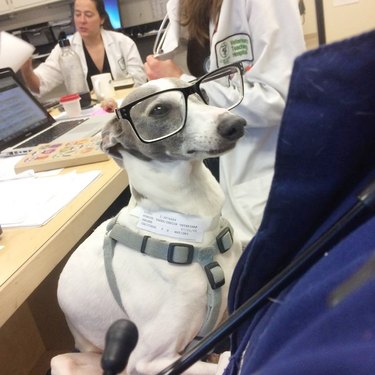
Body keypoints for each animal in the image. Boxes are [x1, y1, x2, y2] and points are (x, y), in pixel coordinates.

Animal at [52, 77, 247, 375]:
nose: (236, 124)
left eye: (200, 91)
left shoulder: (228, 311)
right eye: (159, 109)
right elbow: (223, 364)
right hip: (68, 361)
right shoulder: (152, 361)